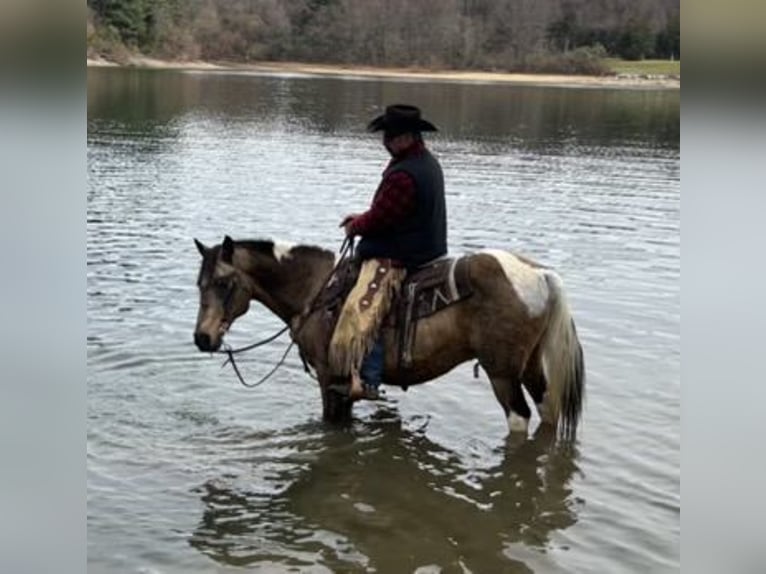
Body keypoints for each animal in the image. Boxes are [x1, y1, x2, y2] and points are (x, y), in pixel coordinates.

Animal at [194, 236, 588, 444]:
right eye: (200, 283)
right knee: (547, 410)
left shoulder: (329, 377)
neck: (317, 289)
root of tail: (539, 274)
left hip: (502, 373)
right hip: (530, 366)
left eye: (224, 283)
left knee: (519, 417)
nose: (202, 338)